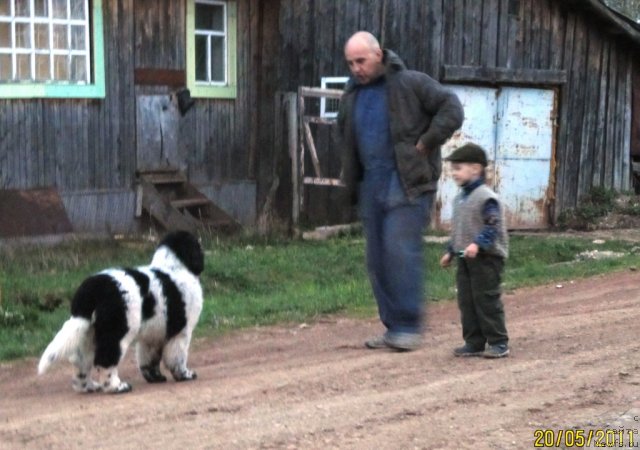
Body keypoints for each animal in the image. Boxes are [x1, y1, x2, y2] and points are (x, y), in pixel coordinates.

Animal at [37, 232, 205, 394]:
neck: (174, 267)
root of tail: (93, 287)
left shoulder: (152, 335)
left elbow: (148, 359)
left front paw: (155, 377)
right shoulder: (181, 332)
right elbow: (178, 357)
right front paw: (185, 375)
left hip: (88, 333)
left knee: (80, 363)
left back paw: (88, 387)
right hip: (118, 330)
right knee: (105, 360)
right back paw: (116, 387)